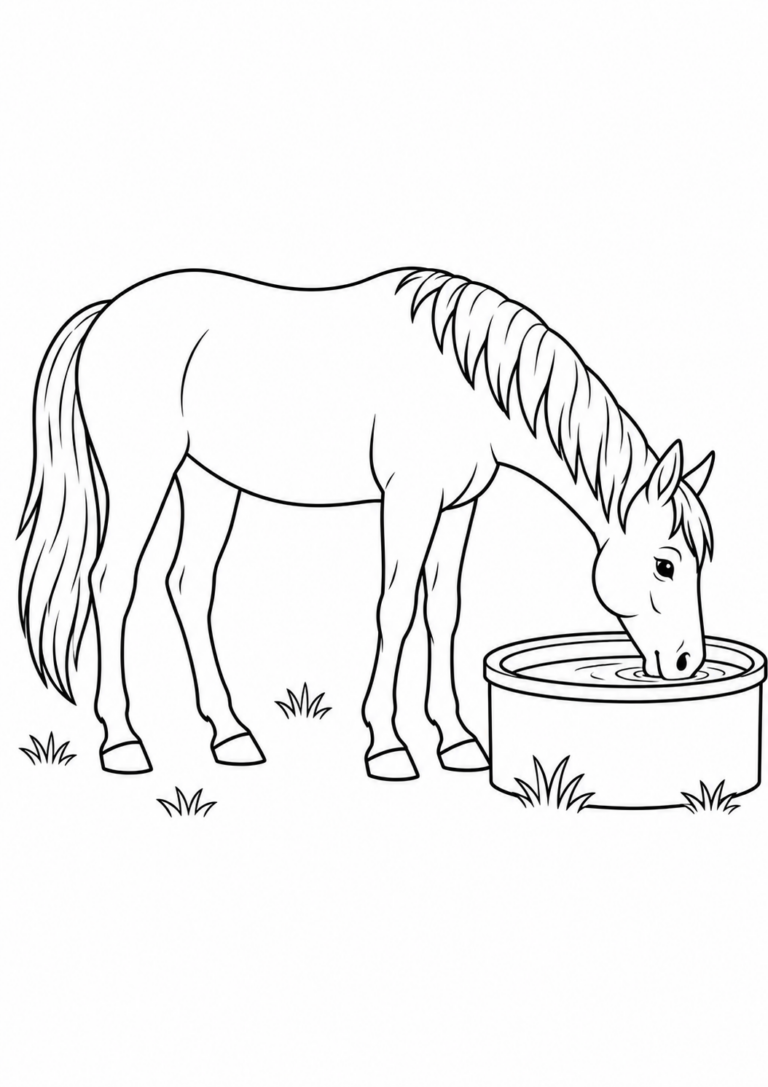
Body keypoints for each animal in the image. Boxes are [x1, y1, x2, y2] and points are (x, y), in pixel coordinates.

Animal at [18, 267, 715, 780]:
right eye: (665, 563)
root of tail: (109, 311)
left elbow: (443, 611)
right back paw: (122, 741)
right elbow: (396, 609)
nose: (686, 664)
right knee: (112, 583)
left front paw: (457, 740)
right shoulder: (409, 501)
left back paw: (231, 734)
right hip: (143, 478)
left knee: (188, 585)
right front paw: (387, 744)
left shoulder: (457, 507)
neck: (465, 384)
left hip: (207, 482)